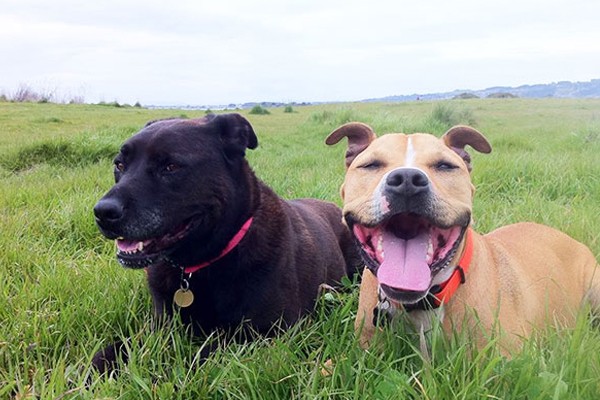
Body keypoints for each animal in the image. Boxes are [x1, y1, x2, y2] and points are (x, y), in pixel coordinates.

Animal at [91, 112, 358, 372]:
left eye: (171, 166)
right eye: (119, 165)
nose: (103, 212)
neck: (202, 264)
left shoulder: (270, 334)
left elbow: (198, 354)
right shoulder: (160, 325)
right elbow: (110, 352)